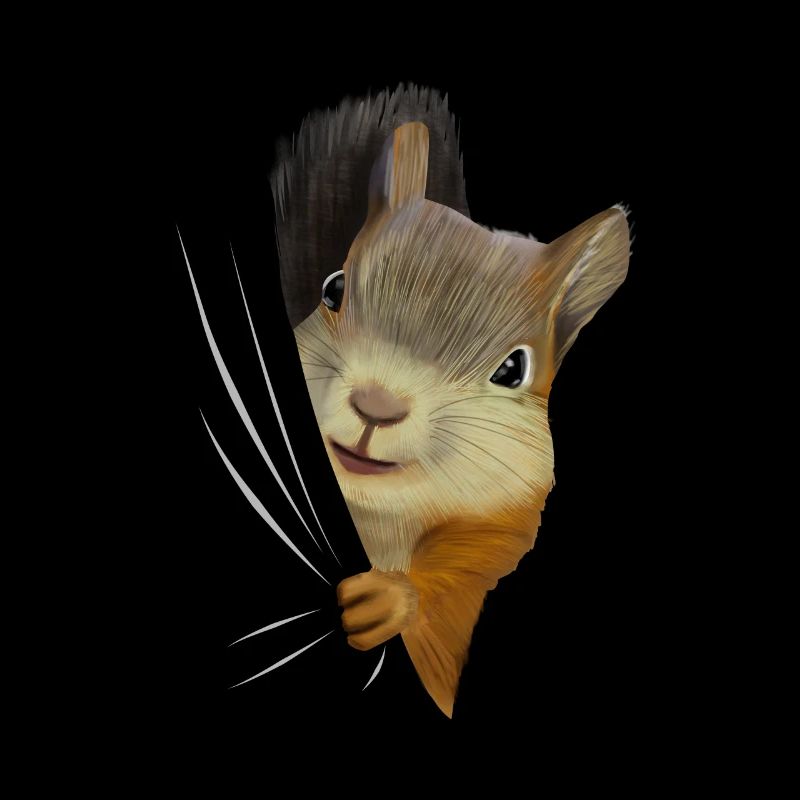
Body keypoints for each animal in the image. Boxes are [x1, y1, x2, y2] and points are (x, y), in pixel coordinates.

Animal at [271, 85, 630, 717]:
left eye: (514, 369)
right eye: (333, 290)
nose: (378, 407)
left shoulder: (504, 518)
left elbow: (476, 559)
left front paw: (386, 600)